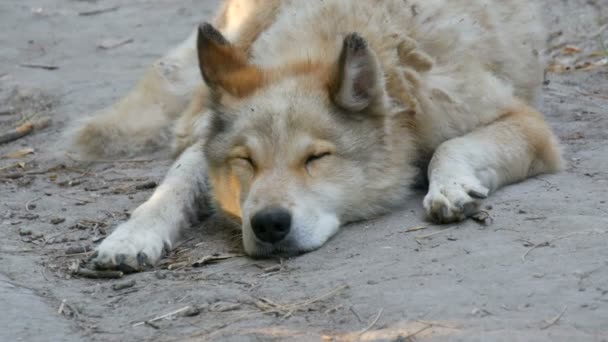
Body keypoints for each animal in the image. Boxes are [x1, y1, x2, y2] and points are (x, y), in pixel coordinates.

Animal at [73, 1, 564, 272]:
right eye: (246, 161)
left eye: (316, 158)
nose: (269, 224)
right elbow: (172, 185)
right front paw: (131, 237)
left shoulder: (526, 124)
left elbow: (449, 145)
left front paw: (450, 188)